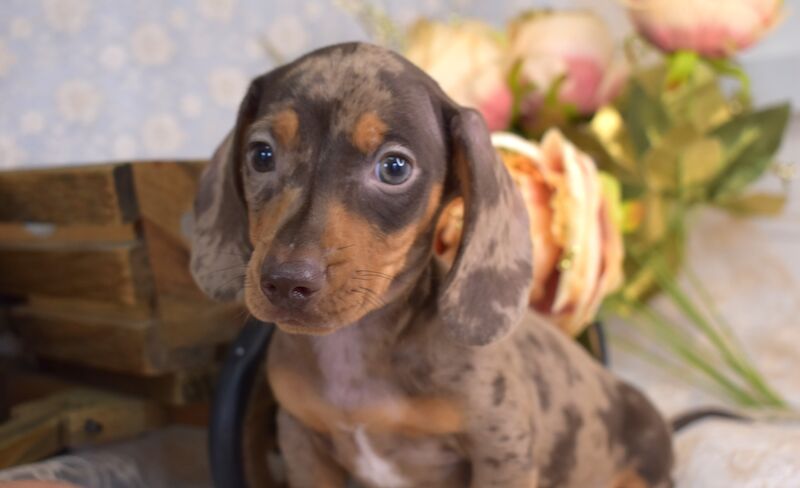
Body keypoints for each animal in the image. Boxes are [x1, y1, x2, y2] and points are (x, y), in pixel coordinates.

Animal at [191, 43, 672, 488]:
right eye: (261, 155)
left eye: (394, 167)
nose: (285, 283)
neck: (356, 347)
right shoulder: (301, 440)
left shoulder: (503, 450)